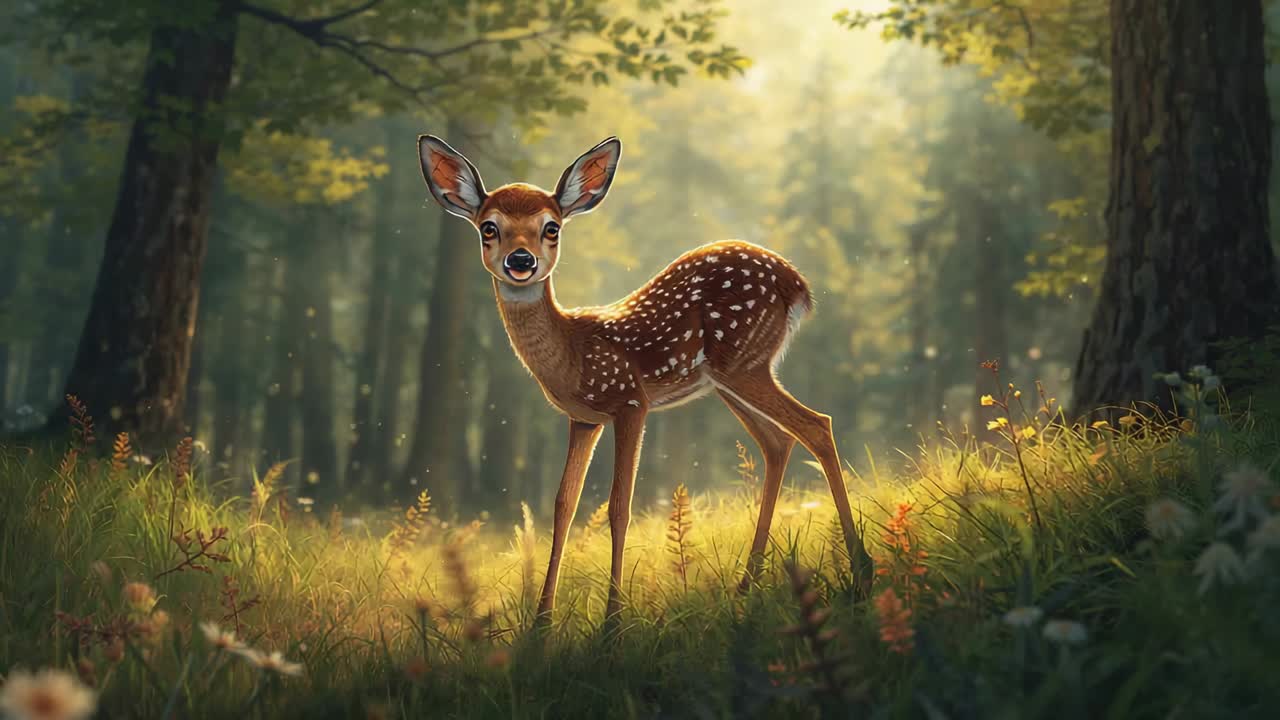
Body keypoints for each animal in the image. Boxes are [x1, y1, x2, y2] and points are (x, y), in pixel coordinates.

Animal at [417, 134, 873, 626]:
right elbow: (563, 505)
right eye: (489, 228)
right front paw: (541, 623)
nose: (522, 260)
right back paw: (746, 587)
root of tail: (798, 284)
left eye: (551, 227)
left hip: (744, 363)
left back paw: (861, 575)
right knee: (778, 442)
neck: (571, 354)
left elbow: (620, 505)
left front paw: (613, 622)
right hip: (730, 378)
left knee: (816, 425)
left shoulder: (630, 400)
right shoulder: (584, 418)